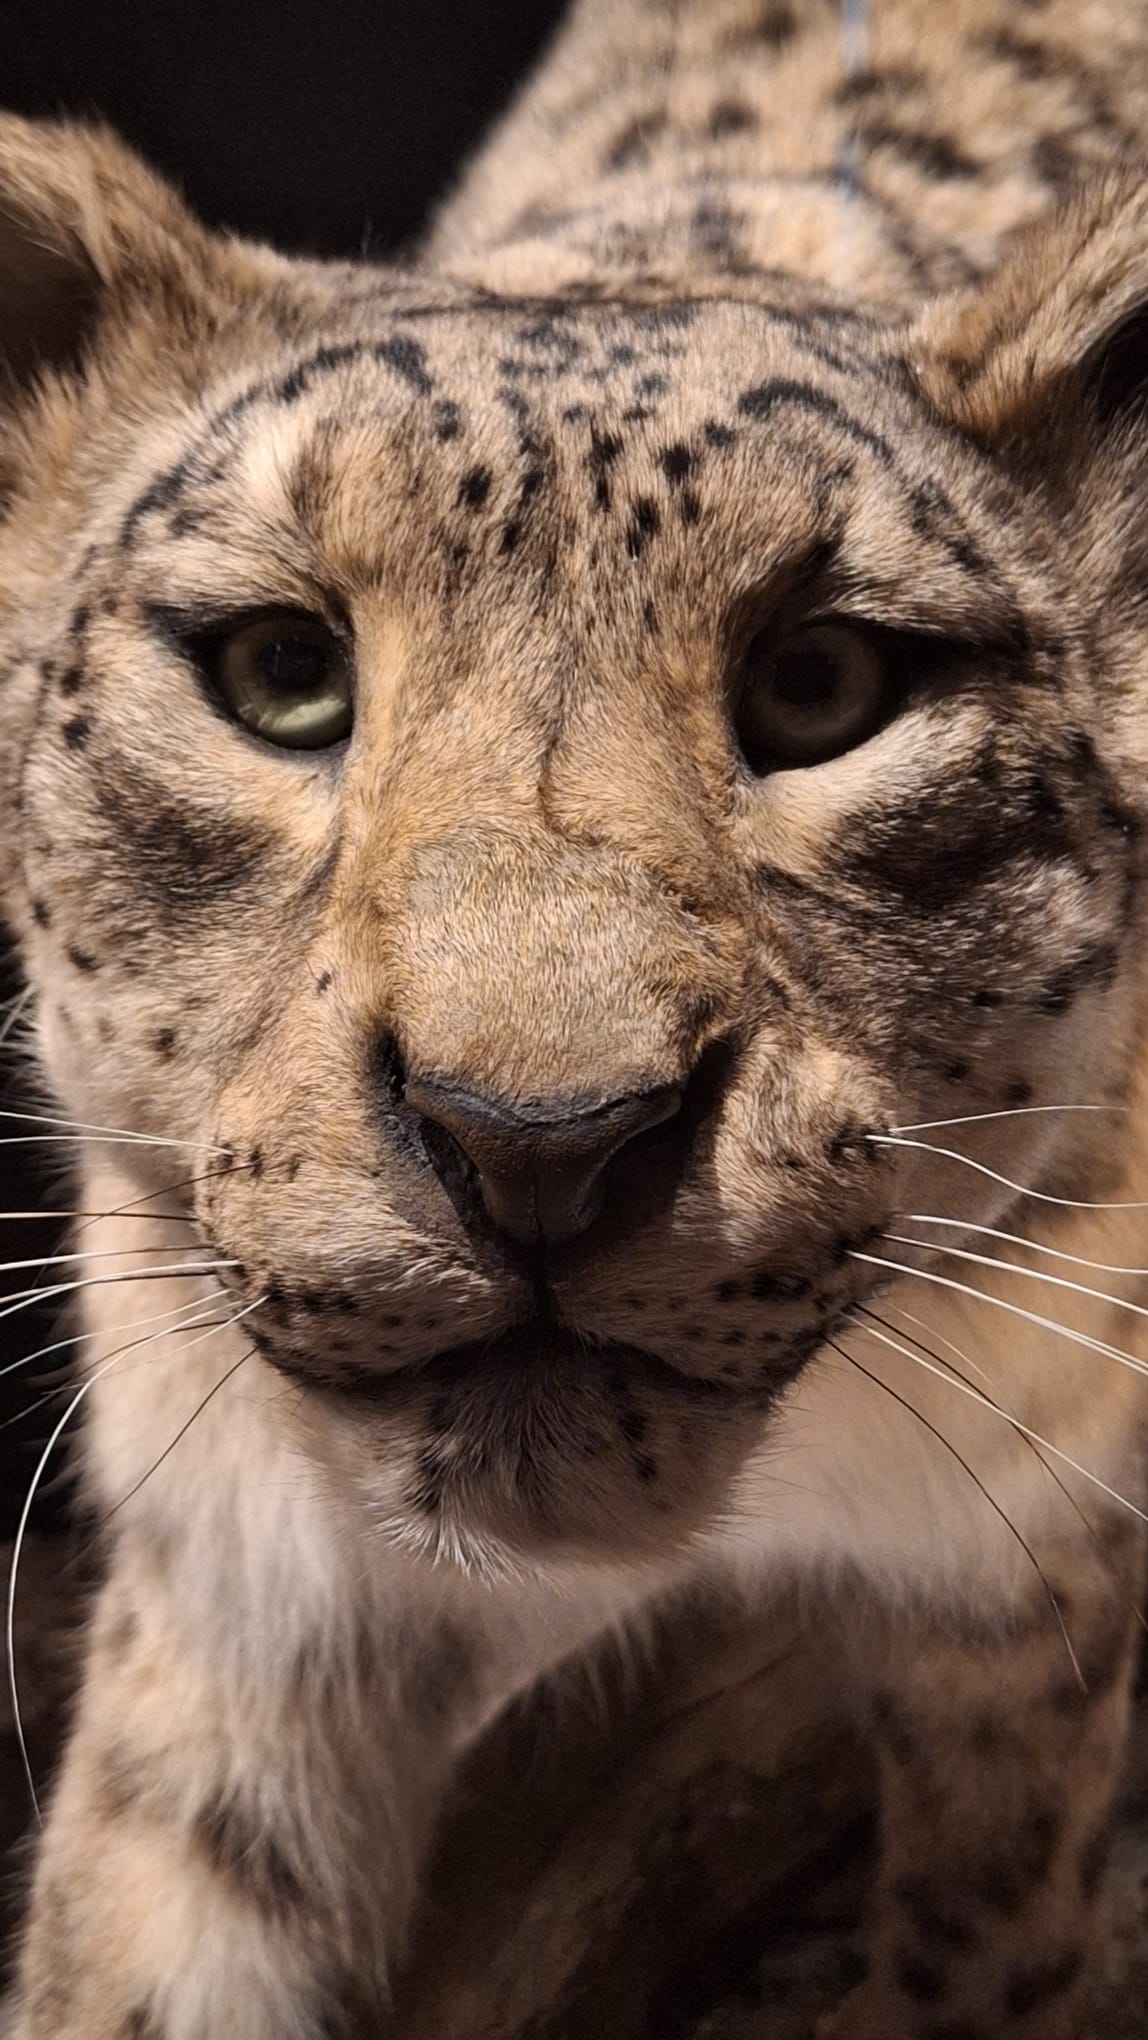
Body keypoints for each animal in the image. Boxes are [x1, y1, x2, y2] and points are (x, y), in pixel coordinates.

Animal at [4, 0, 1148, 2033]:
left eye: (823, 681)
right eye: (280, 670)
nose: (534, 1142)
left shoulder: (1037, 1549)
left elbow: (998, 1917)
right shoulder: (234, 1595)